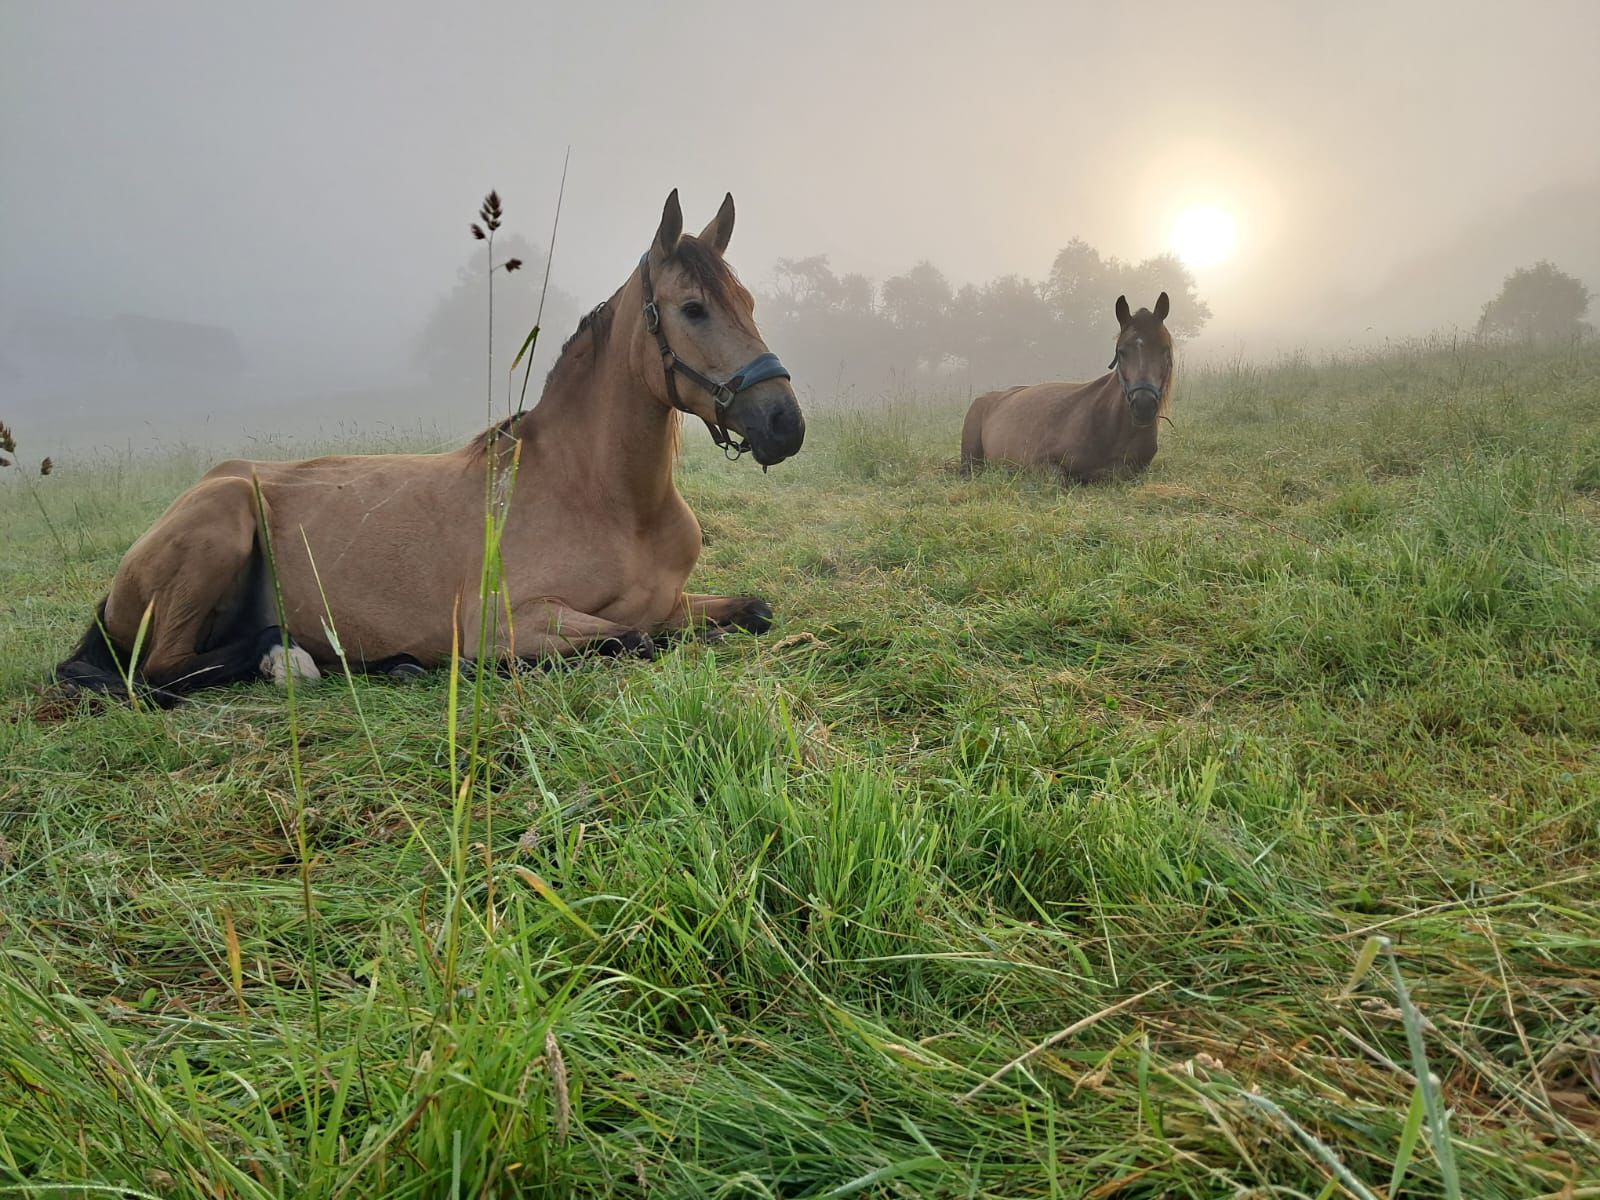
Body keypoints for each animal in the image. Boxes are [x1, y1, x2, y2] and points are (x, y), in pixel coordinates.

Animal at [52, 189, 805, 705]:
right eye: (692, 309)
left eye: (749, 301)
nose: (784, 424)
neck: (611, 501)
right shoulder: (505, 622)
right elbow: (635, 638)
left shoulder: (672, 598)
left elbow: (747, 611)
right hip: (223, 520)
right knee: (160, 671)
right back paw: (313, 658)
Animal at [960, 293, 1174, 483]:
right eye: (1121, 352)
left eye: (1165, 350)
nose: (1144, 405)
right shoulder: (1040, 462)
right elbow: (1060, 478)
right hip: (971, 460)